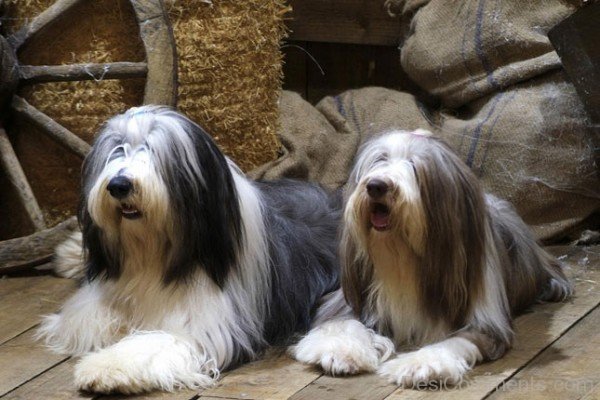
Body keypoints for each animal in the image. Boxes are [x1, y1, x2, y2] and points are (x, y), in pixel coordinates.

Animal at [292, 130, 576, 388]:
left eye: (414, 166)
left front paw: (419, 364)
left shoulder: (486, 320)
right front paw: (340, 351)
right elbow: (341, 322)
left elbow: (458, 340)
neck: (403, 258)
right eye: (380, 160)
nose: (376, 186)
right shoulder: (351, 297)